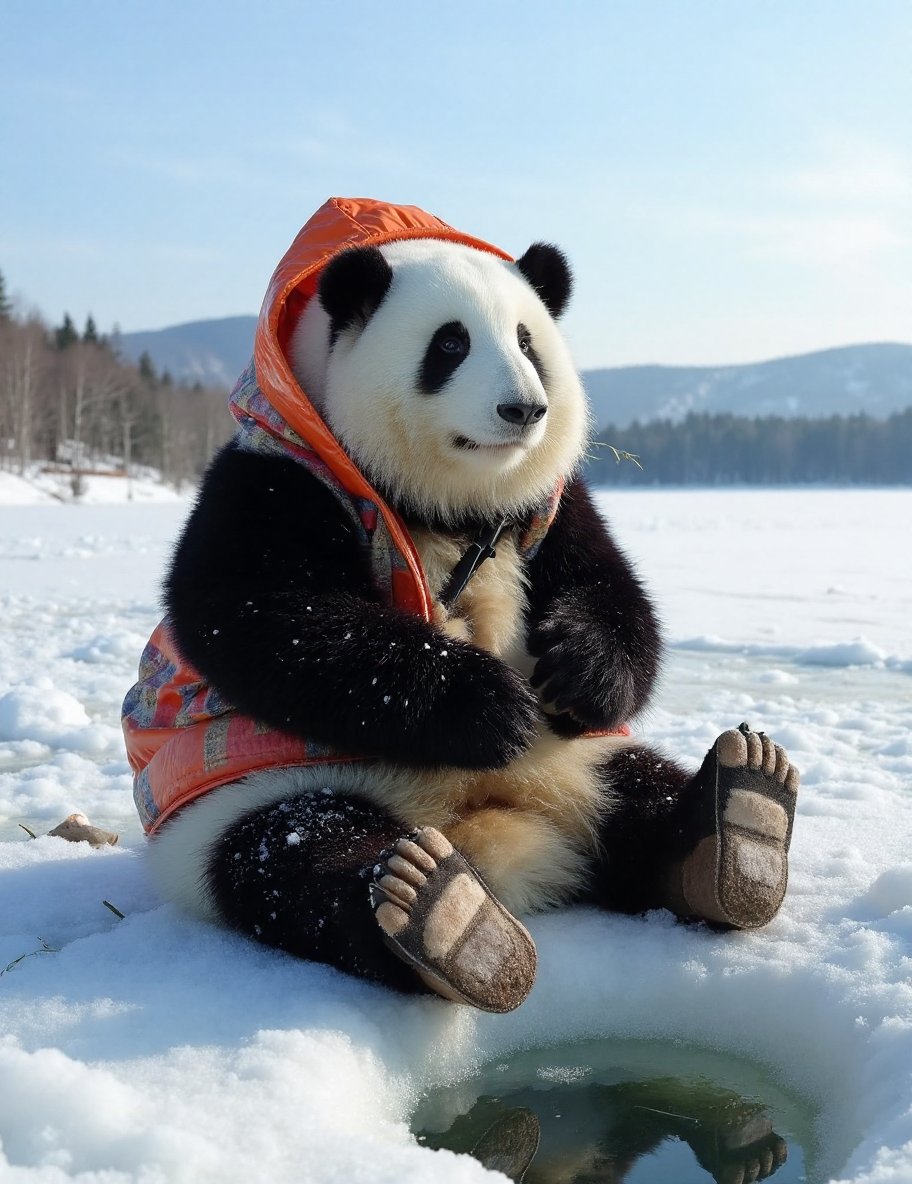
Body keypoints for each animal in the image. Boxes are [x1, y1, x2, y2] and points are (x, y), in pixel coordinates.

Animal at [127, 198, 795, 1013]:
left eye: (528, 340)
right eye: (449, 343)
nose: (523, 409)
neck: (451, 508)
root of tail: (491, 835)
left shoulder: (551, 509)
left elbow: (611, 590)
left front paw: (581, 670)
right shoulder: (277, 477)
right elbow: (263, 617)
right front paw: (489, 705)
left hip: (581, 761)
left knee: (640, 794)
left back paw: (740, 823)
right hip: (251, 801)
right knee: (292, 854)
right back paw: (438, 914)